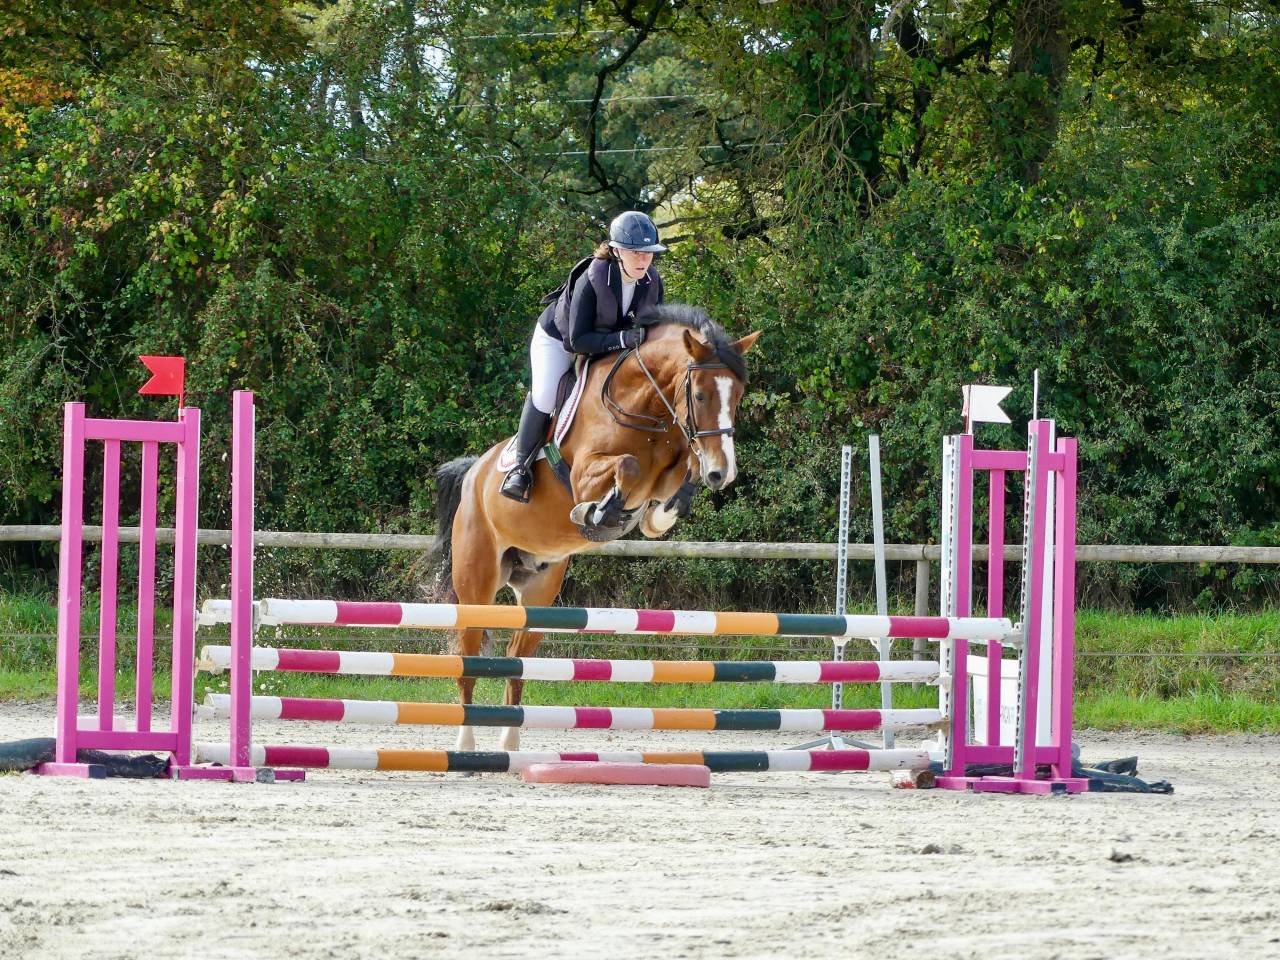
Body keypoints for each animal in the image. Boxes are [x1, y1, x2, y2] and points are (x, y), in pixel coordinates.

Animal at [429, 304, 760, 751]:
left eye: (738, 396)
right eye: (701, 395)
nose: (723, 473)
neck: (647, 408)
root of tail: (472, 475)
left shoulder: (671, 464)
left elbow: (681, 472)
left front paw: (657, 517)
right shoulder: (586, 474)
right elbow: (628, 467)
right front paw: (600, 515)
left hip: (539, 588)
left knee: (517, 655)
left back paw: (509, 746)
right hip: (475, 584)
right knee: (467, 657)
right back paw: (466, 747)